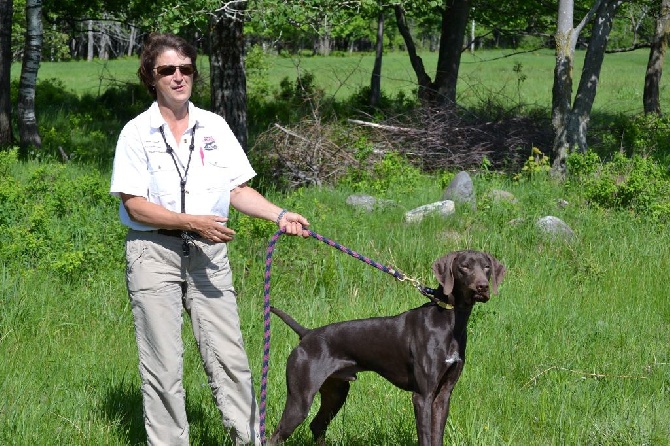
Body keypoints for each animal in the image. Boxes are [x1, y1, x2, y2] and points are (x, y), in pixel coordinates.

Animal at [270, 249, 506, 444]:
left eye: (486, 266)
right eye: (464, 266)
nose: (482, 287)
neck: (449, 320)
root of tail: (307, 334)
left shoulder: (443, 395)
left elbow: (437, 436)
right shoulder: (422, 396)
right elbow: (425, 437)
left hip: (336, 392)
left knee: (317, 425)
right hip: (300, 399)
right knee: (276, 435)